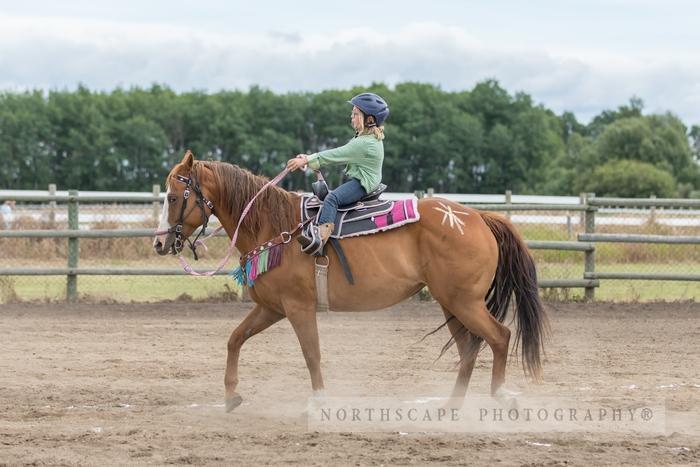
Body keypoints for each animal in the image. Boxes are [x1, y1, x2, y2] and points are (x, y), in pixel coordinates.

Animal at [153, 152, 548, 412]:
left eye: (172, 197)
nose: (159, 243)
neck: (274, 226)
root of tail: (478, 216)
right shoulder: (271, 307)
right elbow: (235, 339)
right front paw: (231, 396)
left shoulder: (298, 307)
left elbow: (311, 353)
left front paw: (319, 401)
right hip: (451, 304)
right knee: (470, 349)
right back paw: (449, 408)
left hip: (464, 302)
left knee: (499, 337)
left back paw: (501, 396)